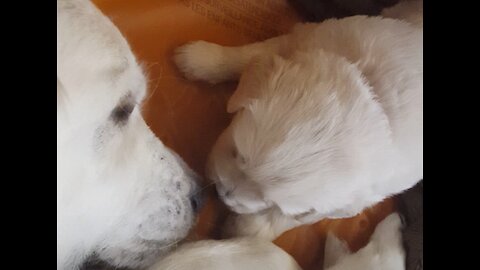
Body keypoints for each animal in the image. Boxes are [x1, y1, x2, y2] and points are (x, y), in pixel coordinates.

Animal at [174, 0, 422, 239]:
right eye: (236, 153)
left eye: (270, 201)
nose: (222, 193)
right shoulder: (308, 36)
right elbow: (252, 53)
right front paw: (201, 59)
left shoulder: (346, 203)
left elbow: (290, 218)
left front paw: (244, 229)